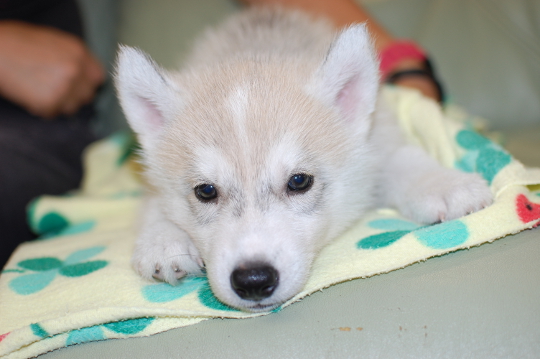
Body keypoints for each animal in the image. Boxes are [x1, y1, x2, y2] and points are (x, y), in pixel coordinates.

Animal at [115, 7, 494, 312]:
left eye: (299, 181)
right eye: (206, 191)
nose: (254, 280)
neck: (257, 52)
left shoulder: (377, 143)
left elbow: (403, 161)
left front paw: (447, 185)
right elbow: (154, 204)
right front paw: (163, 242)